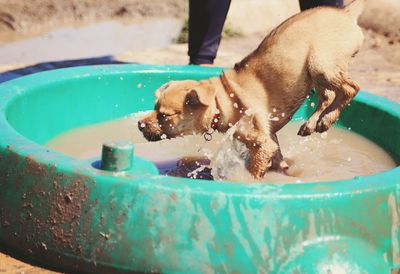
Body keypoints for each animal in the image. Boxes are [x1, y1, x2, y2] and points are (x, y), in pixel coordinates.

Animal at [139, 0, 364, 180]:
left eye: (165, 115)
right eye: (154, 107)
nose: (139, 124)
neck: (224, 98)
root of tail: (346, 12)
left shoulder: (262, 144)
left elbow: (255, 172)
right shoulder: (270, 139)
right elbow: (279, 162)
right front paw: (285, 173)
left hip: (321, 65)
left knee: (350, 89)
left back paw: (327, 119)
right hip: (316, 74)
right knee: (328, 95)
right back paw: (311, 123)